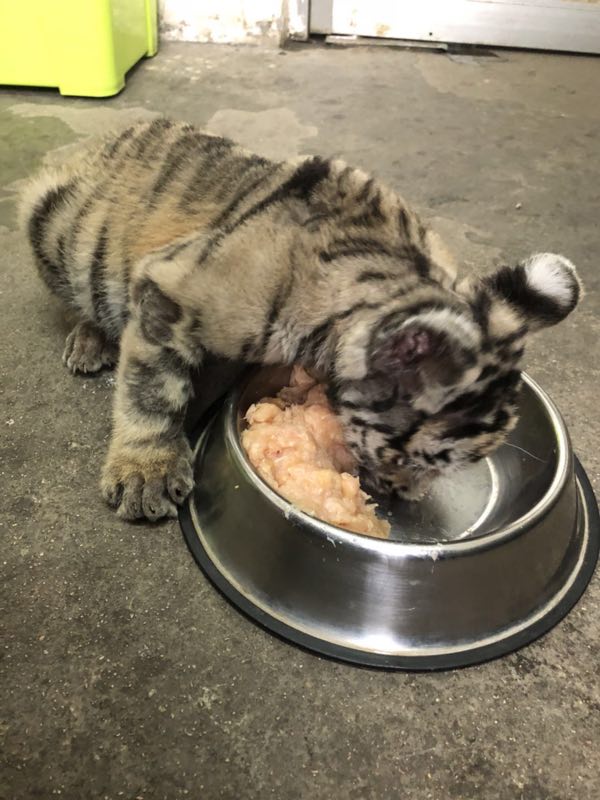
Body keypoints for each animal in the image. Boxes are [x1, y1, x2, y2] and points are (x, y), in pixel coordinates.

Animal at [20, 118, 582, 522]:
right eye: (413, 460)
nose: (407, 500)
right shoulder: (169, 289)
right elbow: (153, 391)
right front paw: (147, 472)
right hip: (58, 227)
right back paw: (90, 341)